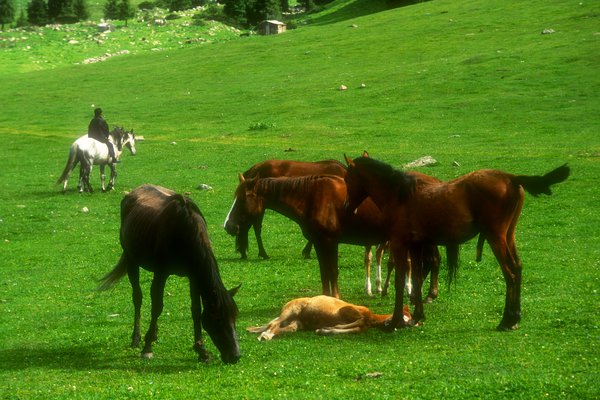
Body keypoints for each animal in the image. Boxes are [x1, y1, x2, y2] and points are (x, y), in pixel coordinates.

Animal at [98, 184, 239, 362]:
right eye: (218, 319)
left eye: (235, 317)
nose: (235, 355)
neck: (185, 233)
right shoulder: (161, 273)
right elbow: (157, 307)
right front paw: (147, 347)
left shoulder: (194, 276)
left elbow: (195, 310)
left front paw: (201, 350)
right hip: (131, 260)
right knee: (137, 298)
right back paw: (137, 338)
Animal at [223, 173, 438, 298]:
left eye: (243, 199)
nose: (228, 226)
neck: (311, 197)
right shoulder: (319, 243)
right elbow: (324, 272)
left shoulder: (330, 242)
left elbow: (332, 271)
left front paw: (336, 298)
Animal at [246, 294, 410, 340]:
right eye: (402, 318)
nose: (391, 326)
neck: (372, 317)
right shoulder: (348, 310)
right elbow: (360, 321)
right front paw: (330, 327)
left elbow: (358, 328)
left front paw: (325, 330)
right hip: (290, 310)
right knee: (273, 324)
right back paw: (265, 335)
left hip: (295, 323)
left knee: (278, 327)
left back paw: (261, 332)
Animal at [344, 154, 568, 332]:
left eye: (347, 178)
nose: (347, 207)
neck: (400, 195)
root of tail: (510, 178)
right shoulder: (416, 246)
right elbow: (416, 278)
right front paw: (416, 317)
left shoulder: (400, 244)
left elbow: (401, 281)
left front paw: (395, 322)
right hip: (508, 236)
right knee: (518, 269)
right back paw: (515, 317)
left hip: (496, 238)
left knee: (510, 273)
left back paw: (507, 320)